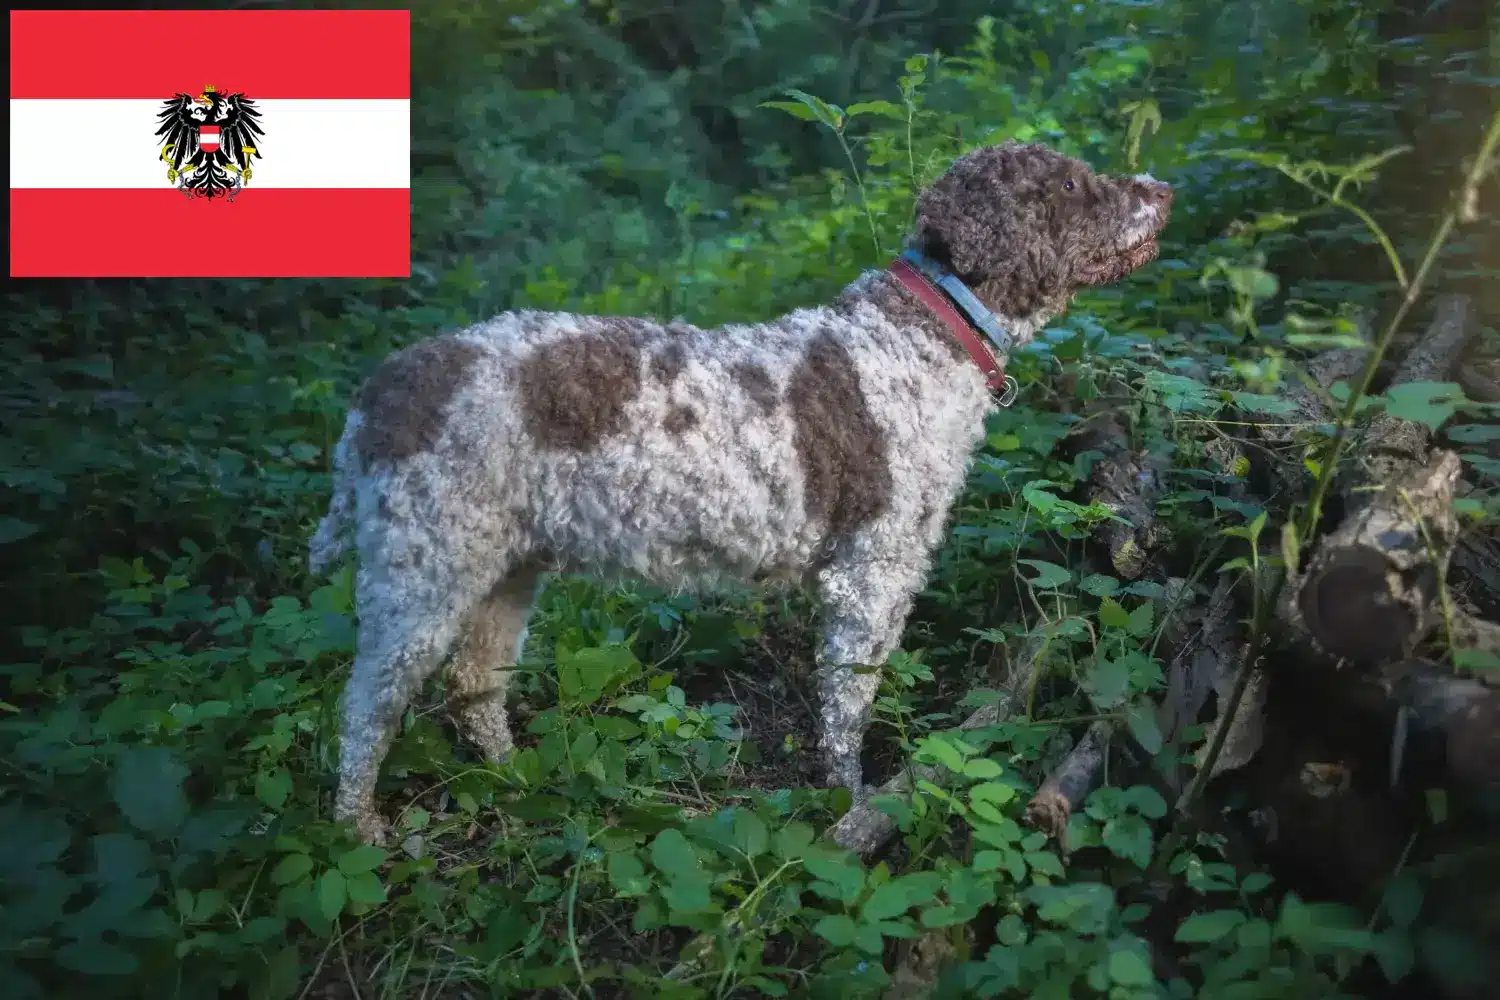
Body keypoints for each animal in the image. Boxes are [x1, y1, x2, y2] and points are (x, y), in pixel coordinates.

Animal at [307, 142, 1170, 845]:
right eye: (1070, 182)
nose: (1161, 188)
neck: (917, 337)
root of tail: (383, 389)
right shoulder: (871, 573)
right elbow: (848, 706)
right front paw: (851, 807)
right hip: (422, 574)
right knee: (366, 707)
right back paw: (358, 829)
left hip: (506, 571)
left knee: (473, 687)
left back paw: (516, 780)